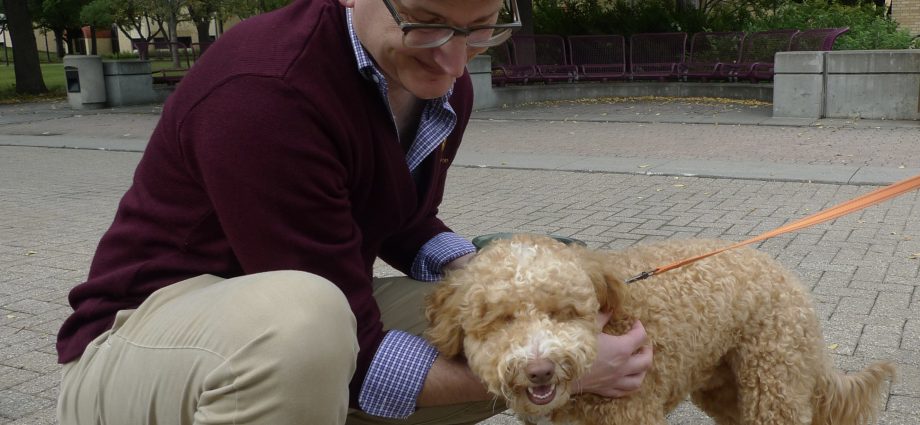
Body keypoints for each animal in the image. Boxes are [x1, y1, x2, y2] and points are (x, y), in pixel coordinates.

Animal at [426, 234, 895, 424]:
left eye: (563, 312)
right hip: (724, 385)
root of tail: (787, 276)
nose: (540, 369)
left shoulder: (632, 416)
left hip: (773, 381)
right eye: (501, 318)